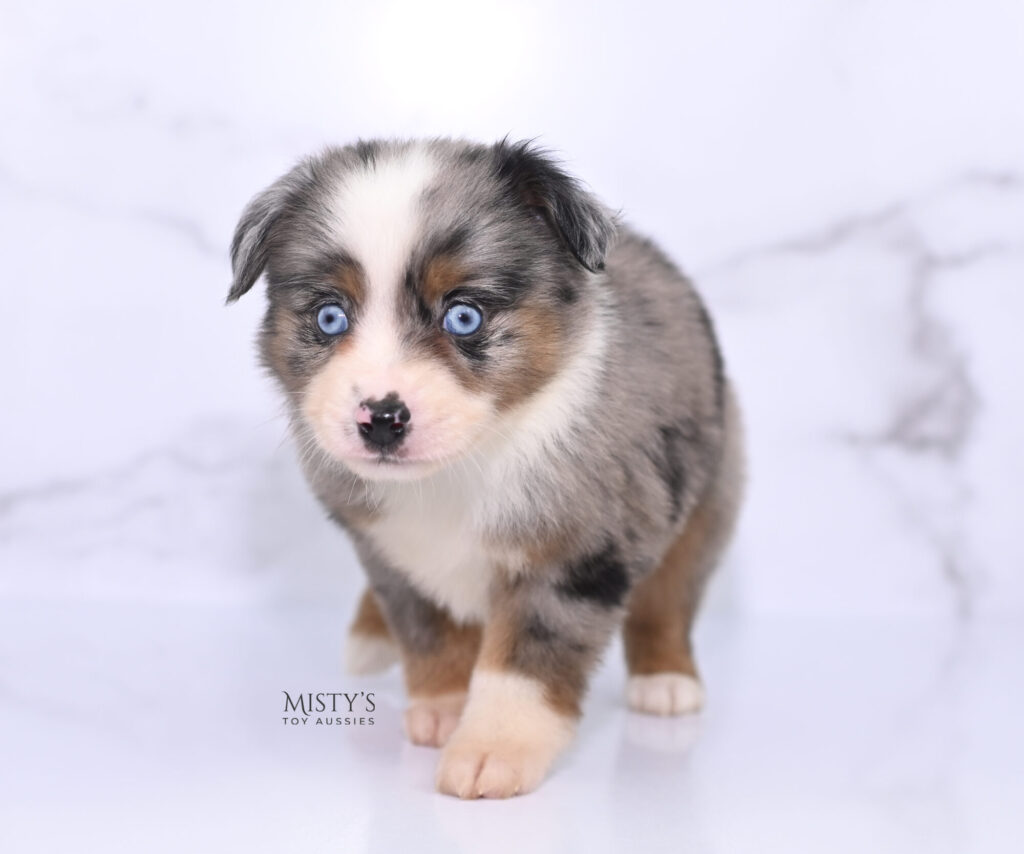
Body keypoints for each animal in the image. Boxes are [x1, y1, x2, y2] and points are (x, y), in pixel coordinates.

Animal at [228, 136, 745, 794]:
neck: (465, 465)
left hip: (712, 488)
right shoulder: (393, 552)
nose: (382, 419)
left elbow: (525, 660)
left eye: (464, 317)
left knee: (671, 593)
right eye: (329, 317)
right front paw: (443, 708)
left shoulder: (573, 553)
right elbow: (428, 633)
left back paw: (666, 679)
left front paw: (493, 750)